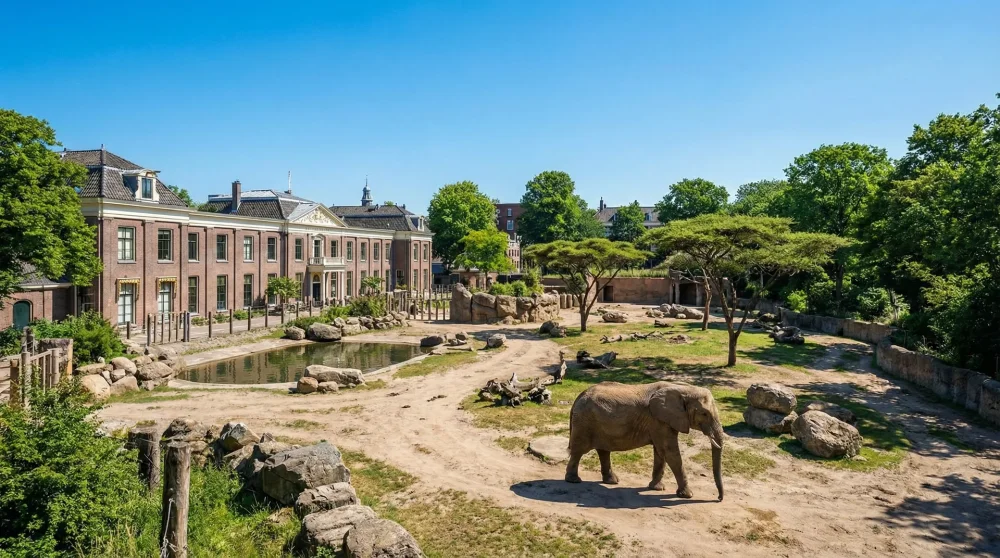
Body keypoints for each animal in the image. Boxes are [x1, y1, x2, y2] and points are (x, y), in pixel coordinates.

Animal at [565, 381, 724, 501]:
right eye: (704, 414)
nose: (718, 498)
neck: (682, 388)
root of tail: (579, 396)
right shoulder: (659, 420)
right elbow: (669, 452)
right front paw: (687, 495)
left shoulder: (663, 421)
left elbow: (660, 452)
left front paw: (657, 488)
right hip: (584, 422)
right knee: (579, 450)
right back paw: (573, 480)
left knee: (603, 451)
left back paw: (612, 481)